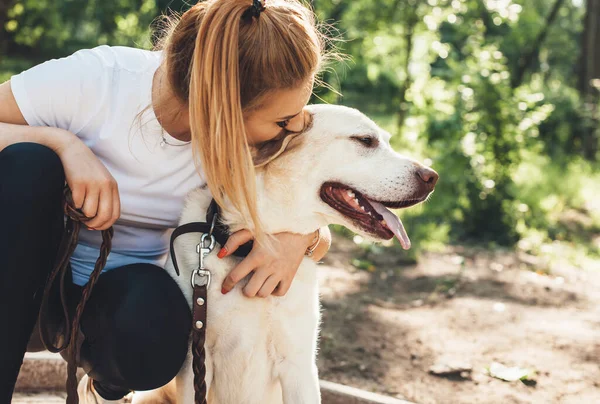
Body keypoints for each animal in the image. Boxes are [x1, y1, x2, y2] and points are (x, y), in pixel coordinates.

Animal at [134, 105, 438, 404]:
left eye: (386, 141)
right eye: (365, 140)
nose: (432, 177)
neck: (258, 242)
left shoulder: (299, 364)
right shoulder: (195, 360)